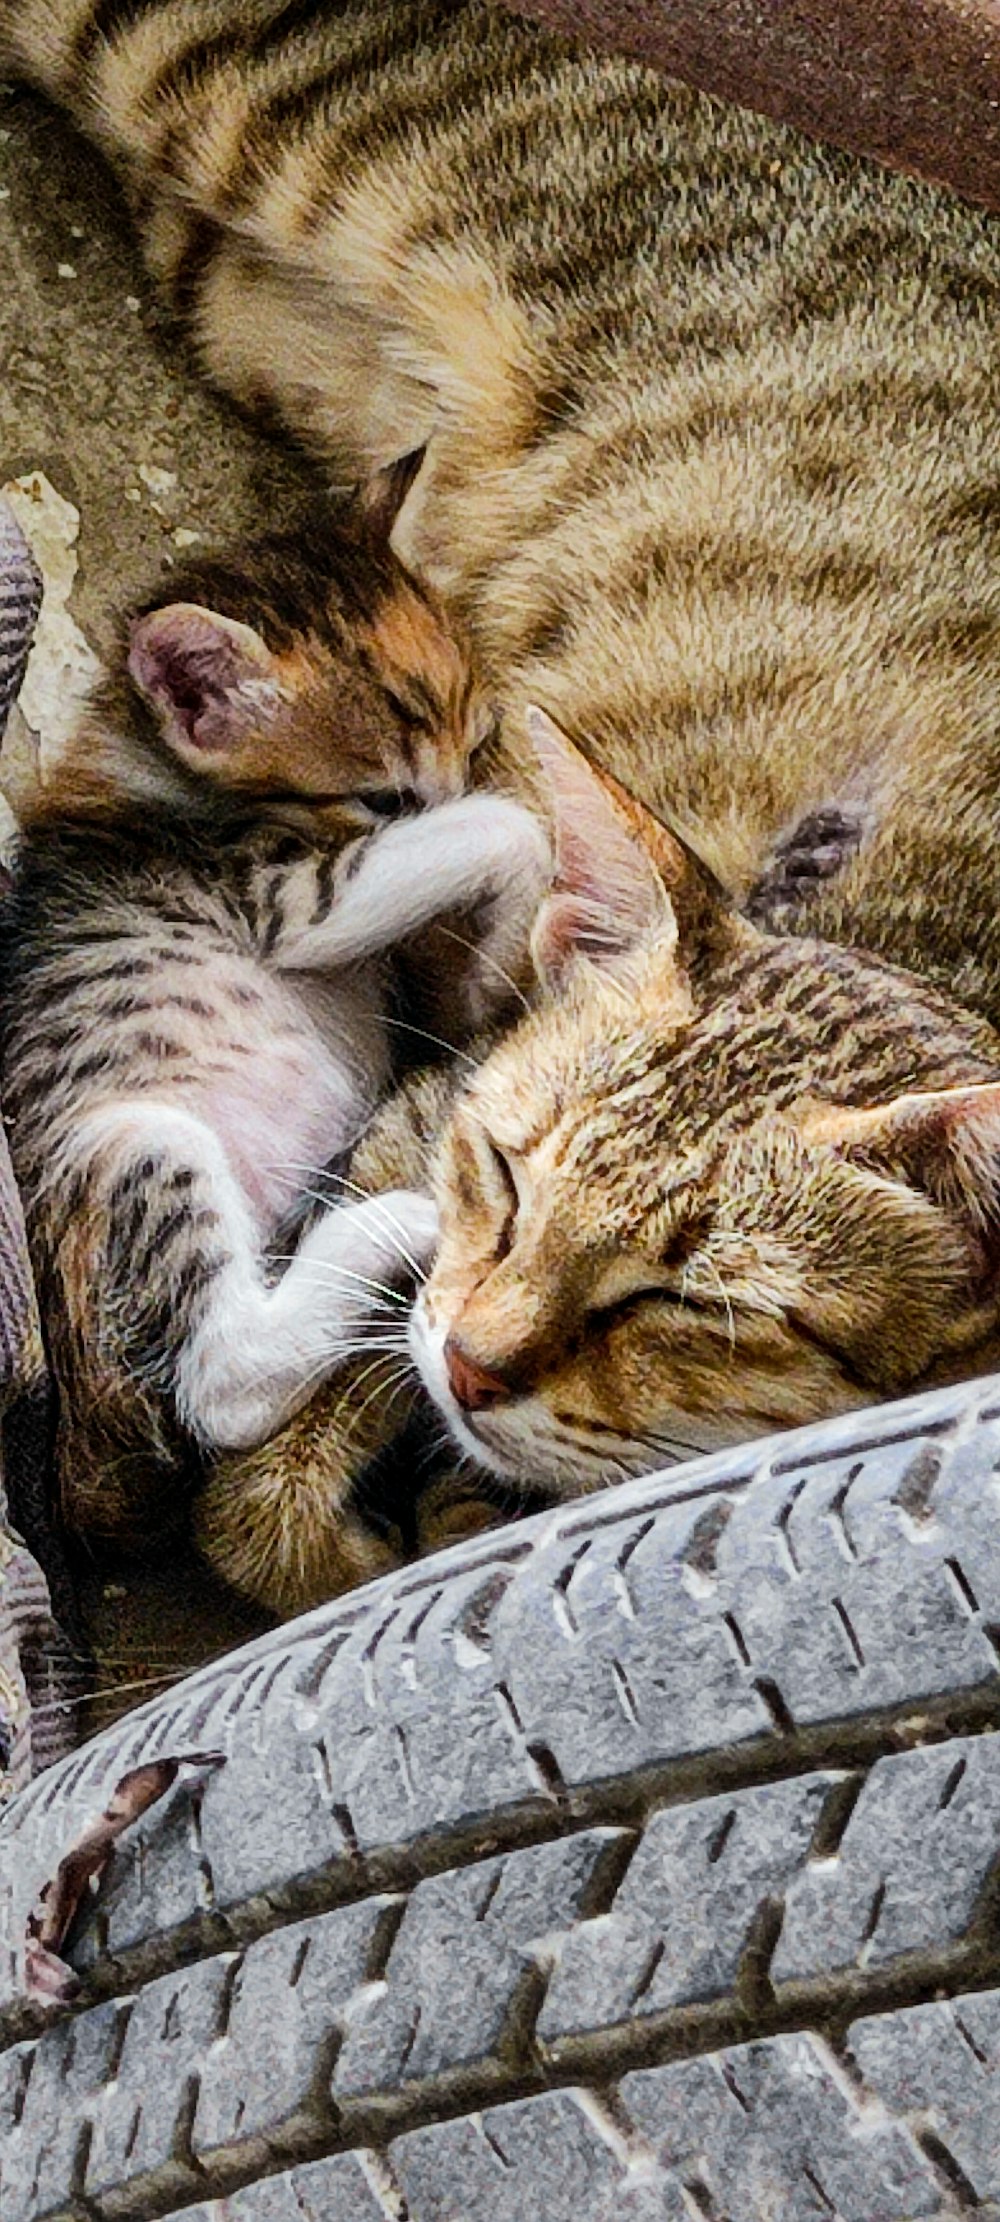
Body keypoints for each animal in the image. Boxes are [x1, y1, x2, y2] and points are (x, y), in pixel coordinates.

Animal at [0, 493, 546, 1555]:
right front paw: (512, 930)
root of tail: (76, 1473)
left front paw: (483, 972)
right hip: (133, 1147)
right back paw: (394, 1226)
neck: (155, 772)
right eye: (384, 797)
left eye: (482, 741)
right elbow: (510, 830)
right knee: (223, 1385)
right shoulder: (286, 901)